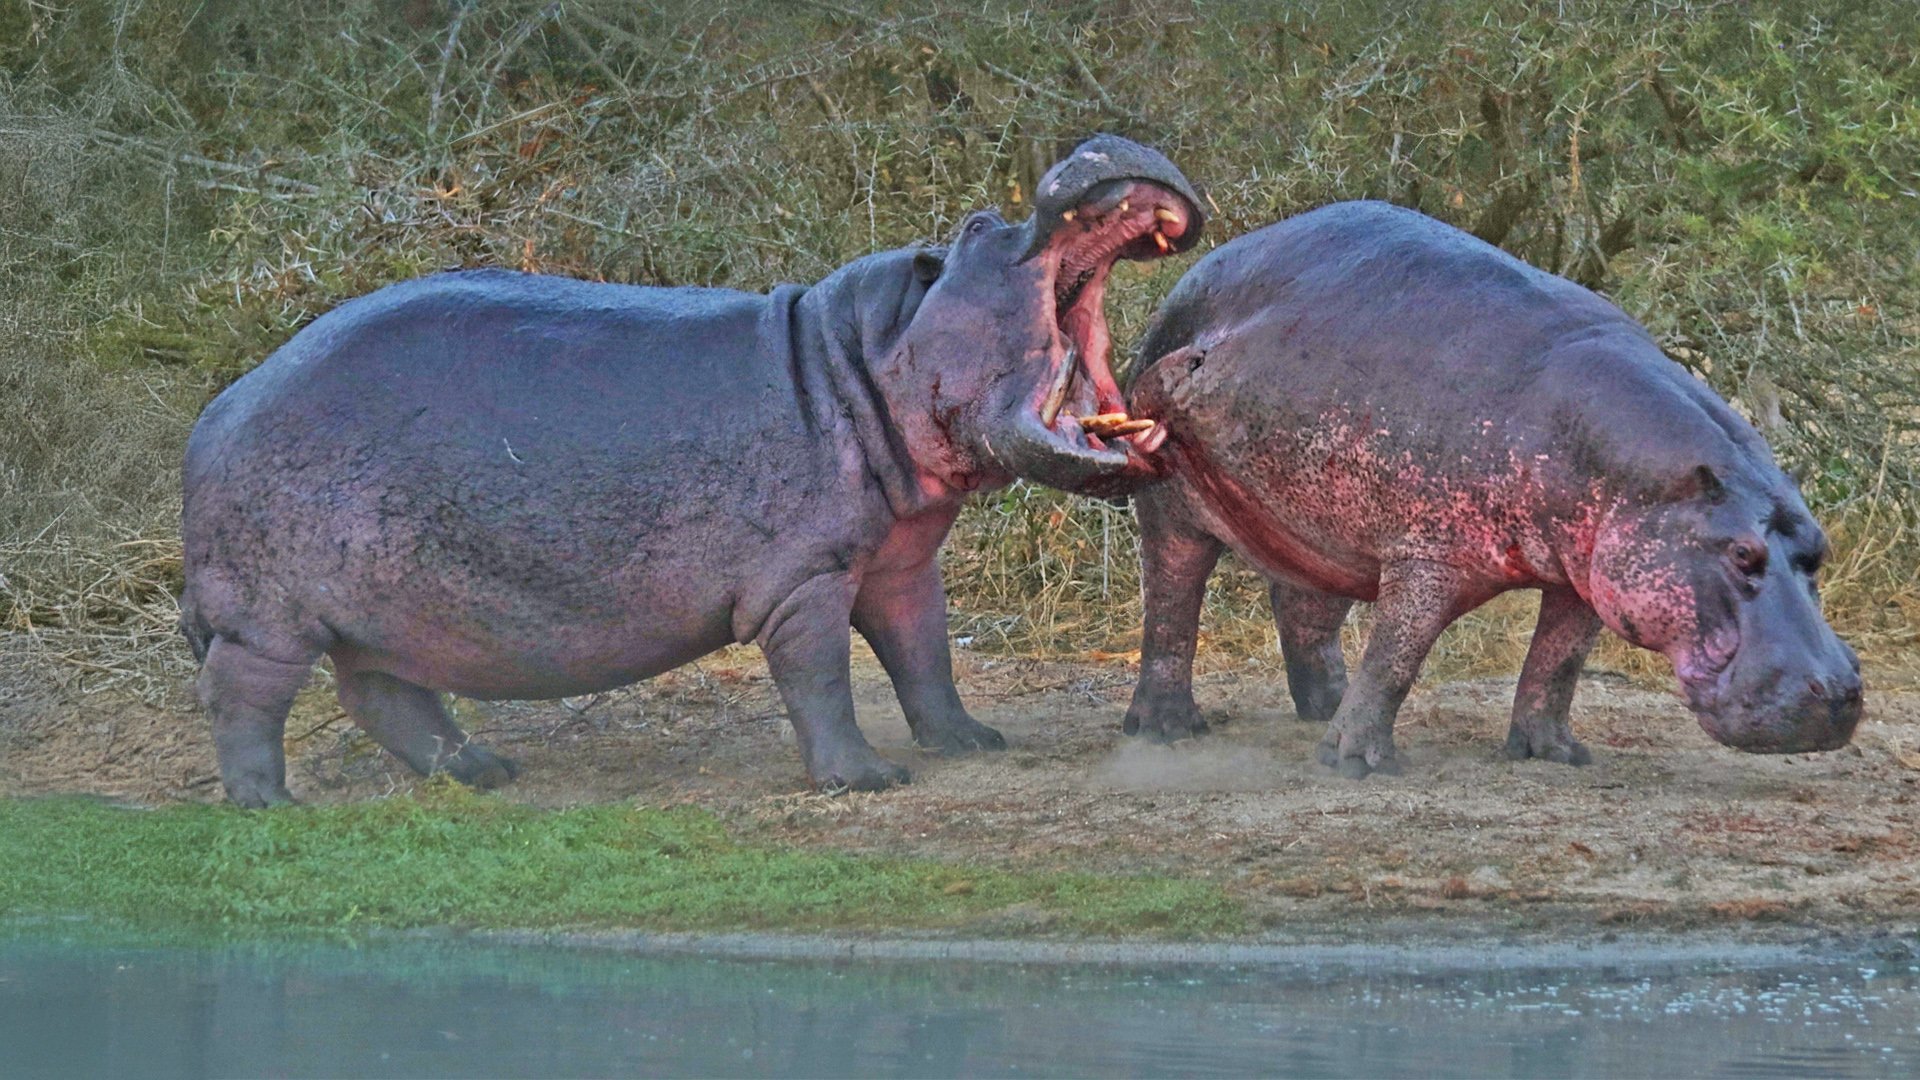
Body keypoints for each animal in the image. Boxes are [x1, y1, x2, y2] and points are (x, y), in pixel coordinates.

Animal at [178, 136, 1202, 806]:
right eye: (982, 224)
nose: (1101, 141)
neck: (862, 357)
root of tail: (217, 412)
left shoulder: (900, 562)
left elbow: (925, 658)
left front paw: (971, 744)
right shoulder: (802, 581)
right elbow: (822, 679)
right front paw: (868, 779)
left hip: (378, 612)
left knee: (382, 694)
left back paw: (483, 774)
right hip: (271, 615)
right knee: (241, 694)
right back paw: (269, 803)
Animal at [1121, 201, 1863, 777]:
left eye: (1819, 549)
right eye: (1741, 555)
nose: (1837, 691)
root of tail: (1193, 278)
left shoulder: (1588, 575)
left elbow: (1557, 664)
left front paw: (1554, 754)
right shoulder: (1426, 558)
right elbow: (1396, 657)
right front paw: (1360, 764)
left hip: (1321, 527)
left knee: (1304, 607)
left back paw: (1325, 706)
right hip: (1172, 505)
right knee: (1172, 605)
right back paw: (1166, 729)